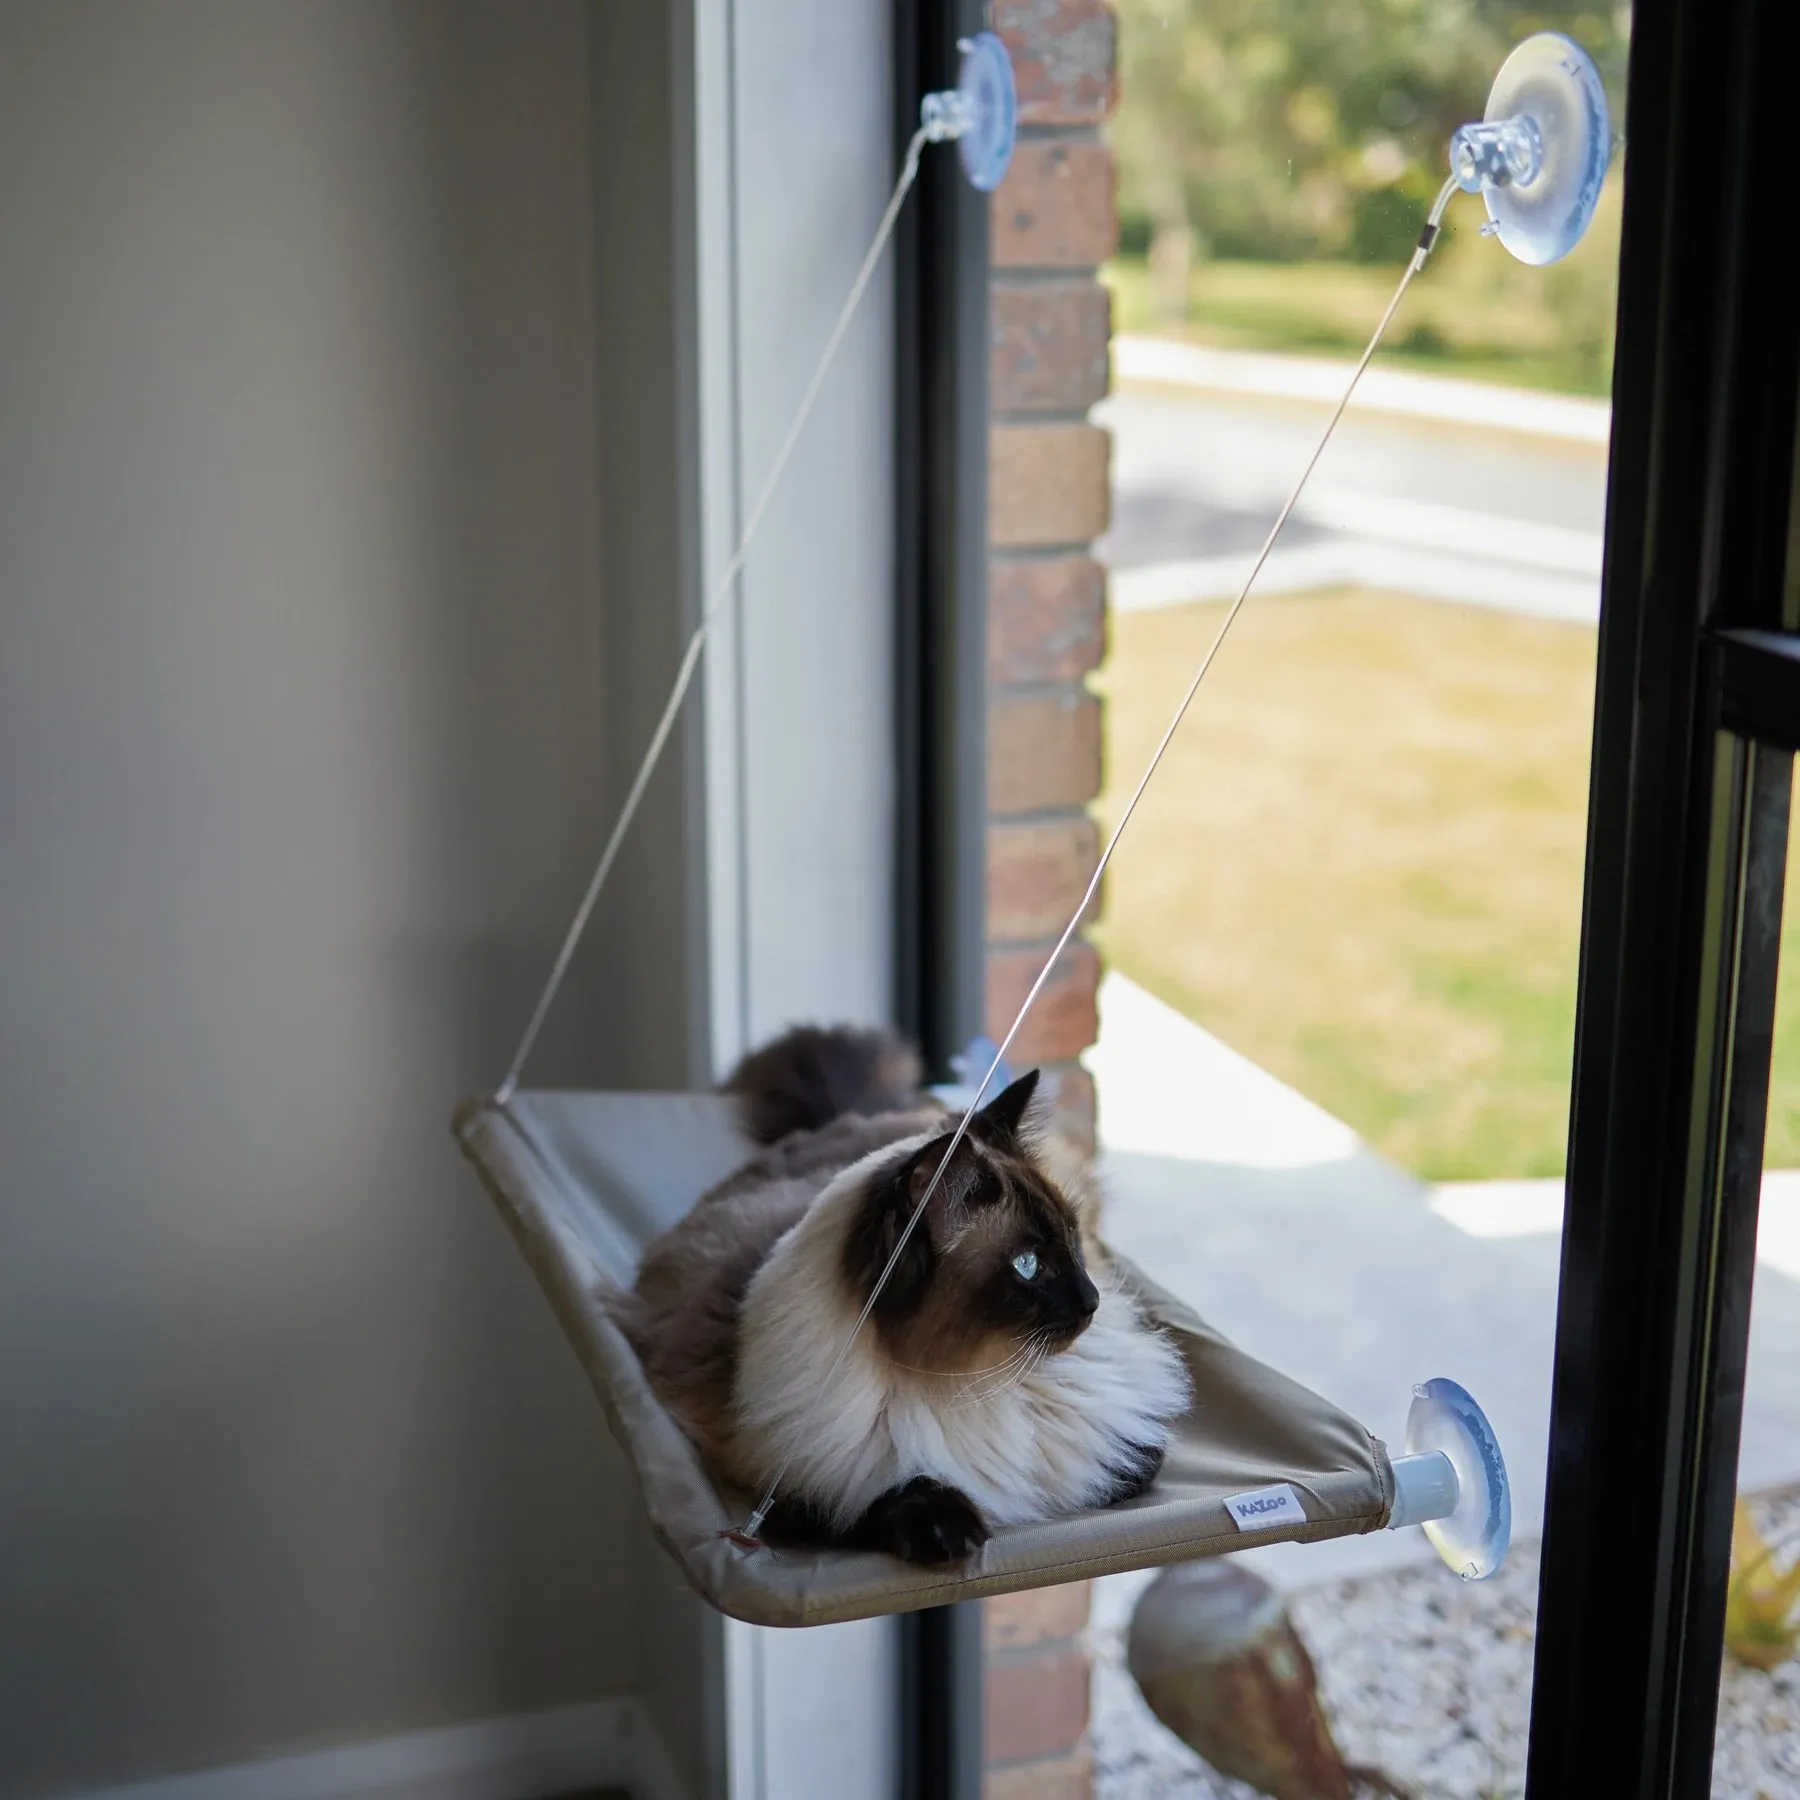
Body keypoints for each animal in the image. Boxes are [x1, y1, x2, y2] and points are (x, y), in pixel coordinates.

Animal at [612, 1029, 1188, 1562]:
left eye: (1071, 1239)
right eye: (1028, 1266)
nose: (1092, 1300)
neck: (984, 1382)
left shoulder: (1121, 1442)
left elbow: (1129, 1460)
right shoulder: (786, 1488)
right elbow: (878, 1500)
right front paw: (953, 1531)